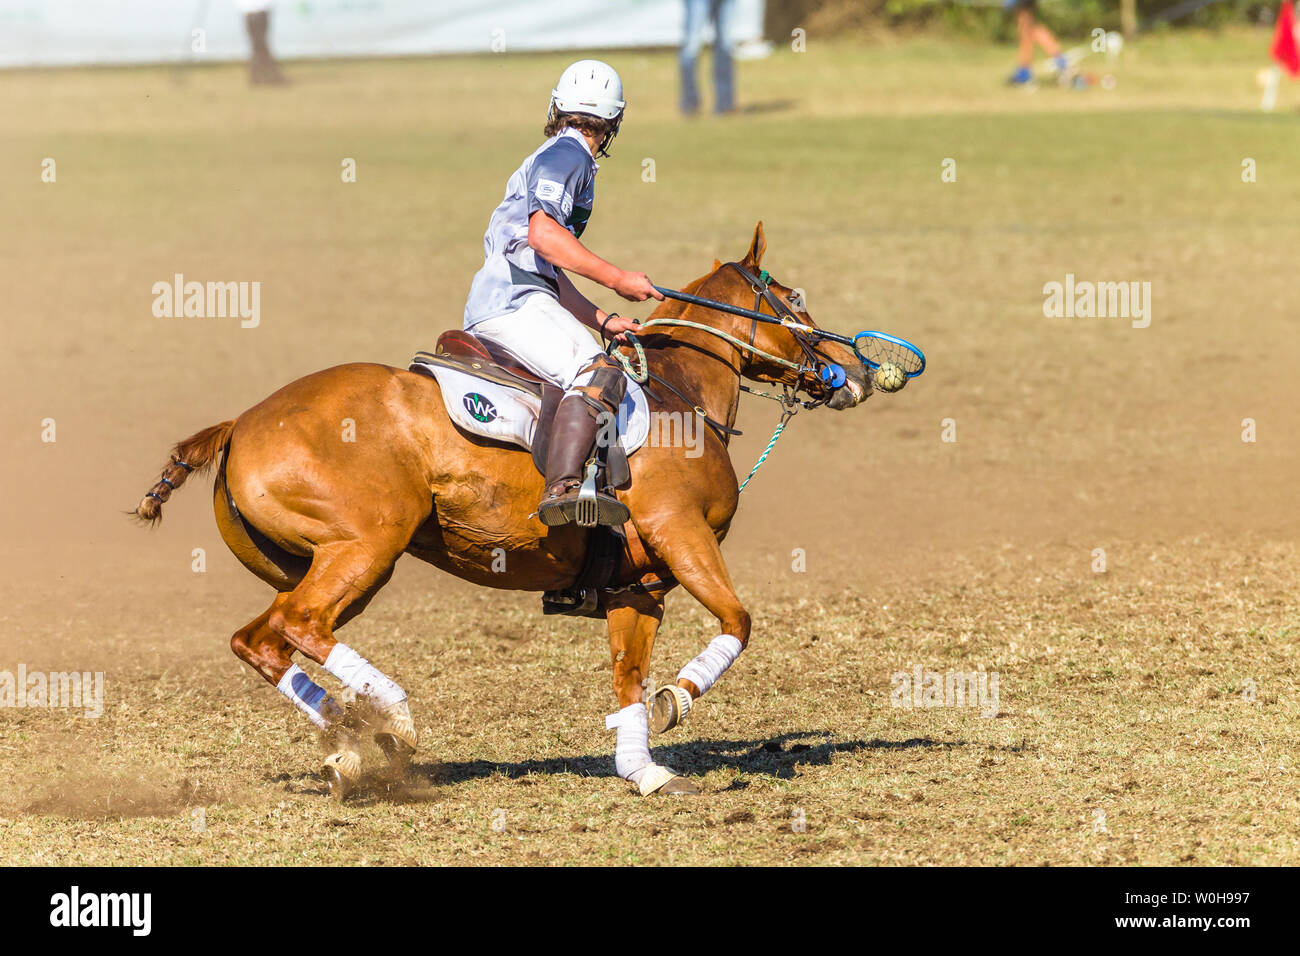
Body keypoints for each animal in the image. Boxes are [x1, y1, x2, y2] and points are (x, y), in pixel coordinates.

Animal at [134, 221, 863, 796]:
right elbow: (738, 623)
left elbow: (628, 679)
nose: (850, 373)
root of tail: (238, 425)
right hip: (367, 544)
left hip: (334, 562)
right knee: (300, 624)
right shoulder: (681, 534)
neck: (679, 396)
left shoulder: (637, 584)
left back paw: (349, 745)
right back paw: (393, 718)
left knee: (261, 639)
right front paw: (676, 702)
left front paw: (646, 770)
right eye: (793, 300)